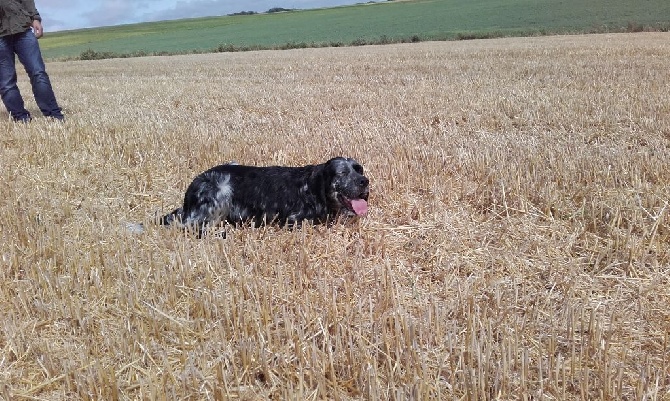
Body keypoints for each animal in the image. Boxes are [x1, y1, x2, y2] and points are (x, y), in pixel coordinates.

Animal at [161, 155, 372, 233]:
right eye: (342, 173)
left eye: (359, 169)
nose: (364, 181)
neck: (312, 188)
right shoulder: (294, 221)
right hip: (222, 188)